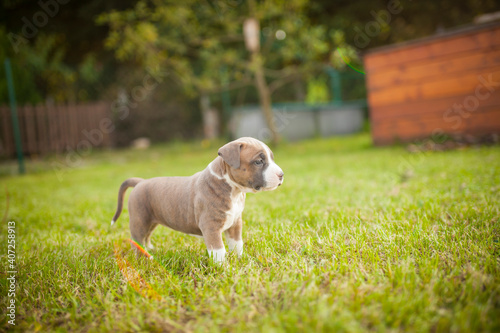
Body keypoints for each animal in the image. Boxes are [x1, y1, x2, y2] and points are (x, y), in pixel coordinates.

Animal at [111, 136, 284, 260]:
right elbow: (219, 250)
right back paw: (141, 259)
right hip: (139, 219)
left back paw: (150, 250)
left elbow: (237, 244)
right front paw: (223, 269)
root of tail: (140, 182)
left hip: (152, 220)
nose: (281, 174)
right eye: (259, 161)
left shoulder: (235, 223)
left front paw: (240, 260)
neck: (233, 190)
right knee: (137, 239)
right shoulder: (211, 227)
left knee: (147, 236)